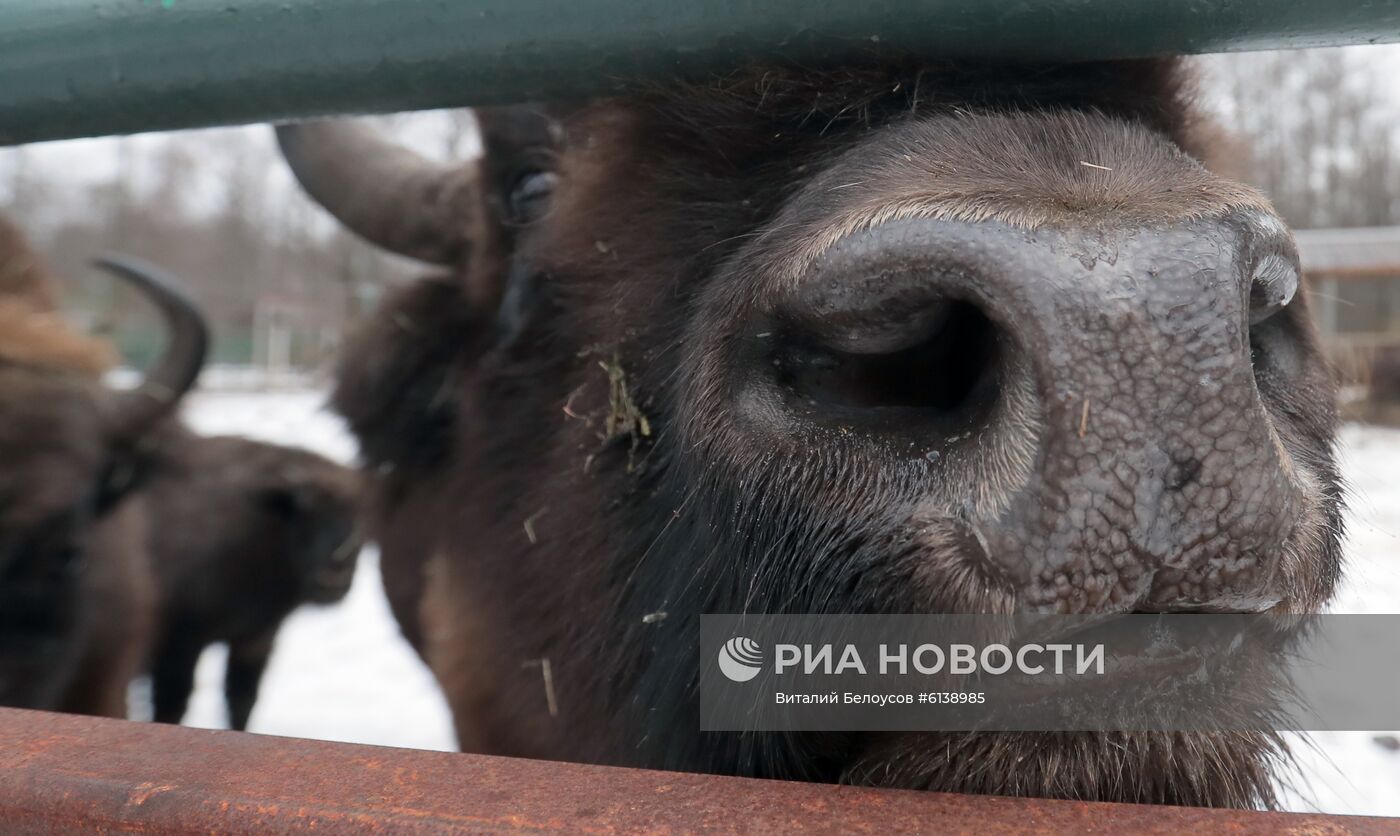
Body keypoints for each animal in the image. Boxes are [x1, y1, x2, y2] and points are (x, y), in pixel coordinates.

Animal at [140, 431, 361, 728]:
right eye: (305, 511)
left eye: (362, 513)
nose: (333, 580)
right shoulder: (182, 643)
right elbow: (172, 705)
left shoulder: (255, 639)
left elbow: (242, 701)